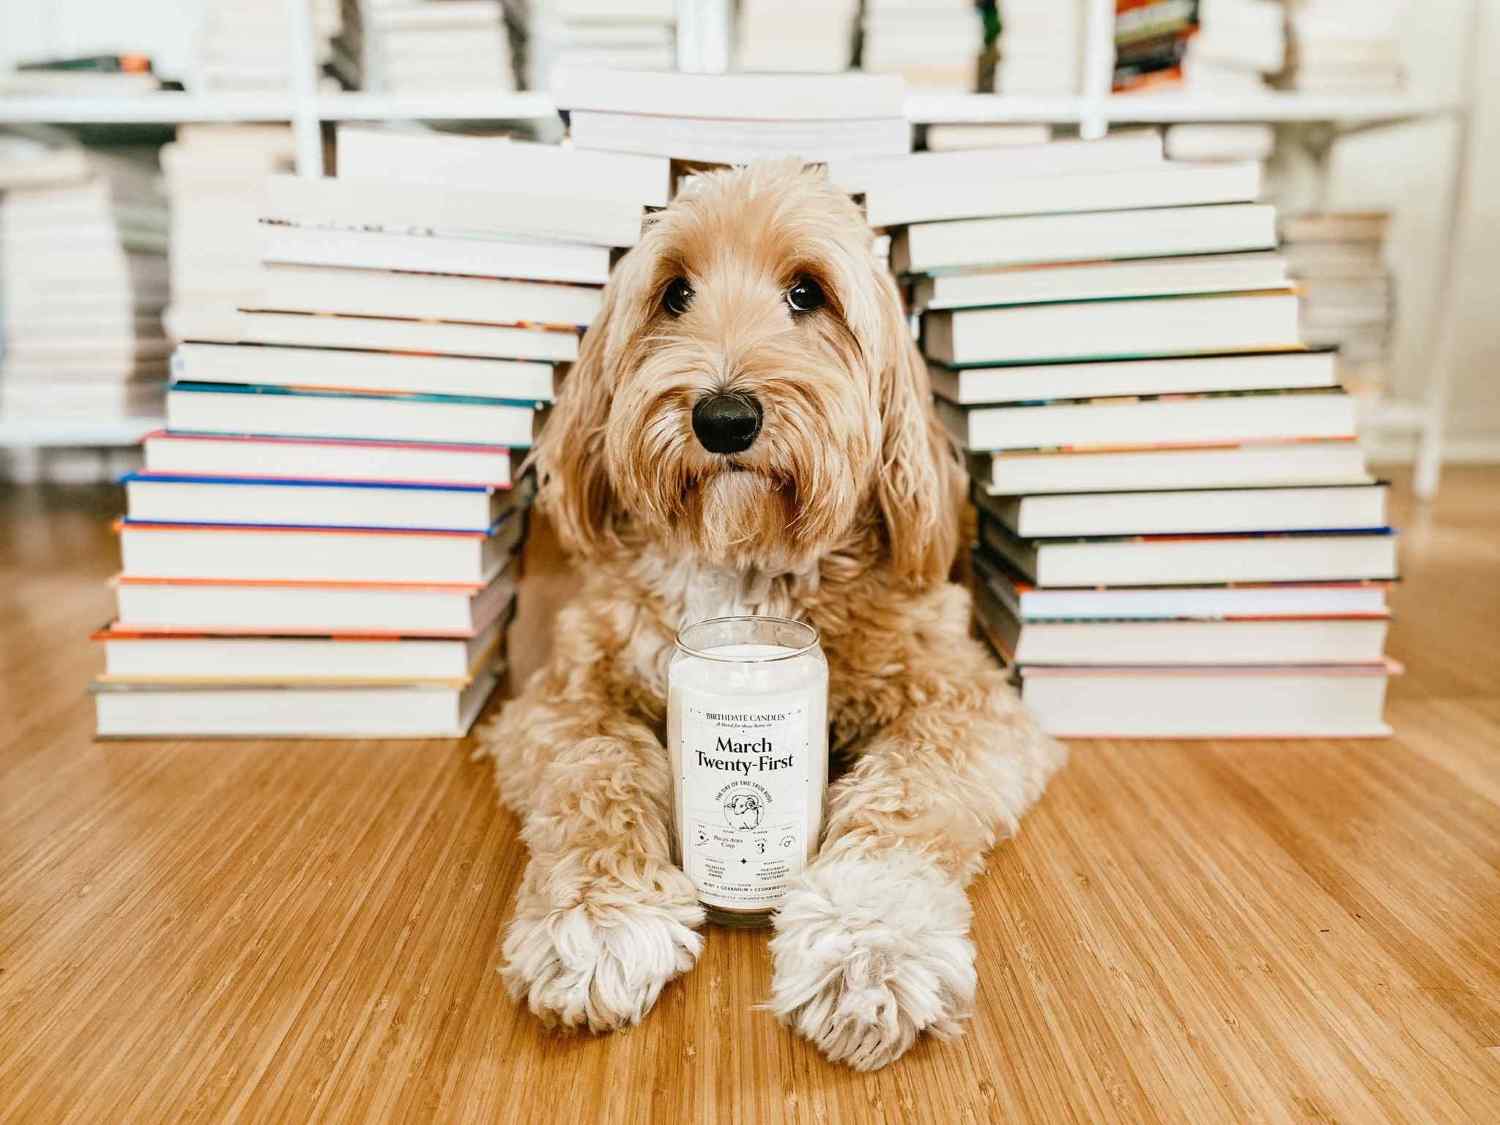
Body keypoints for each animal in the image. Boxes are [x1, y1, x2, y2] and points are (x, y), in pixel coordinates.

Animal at [480, 160, 1065, 1071]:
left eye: (806, 292)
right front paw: (601, 916)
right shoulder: (562, 698)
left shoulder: (966, 702)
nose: (724, 418)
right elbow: (596, 774)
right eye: (674, 292)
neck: (748, 571)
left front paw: (867, 941)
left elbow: (906, 793)